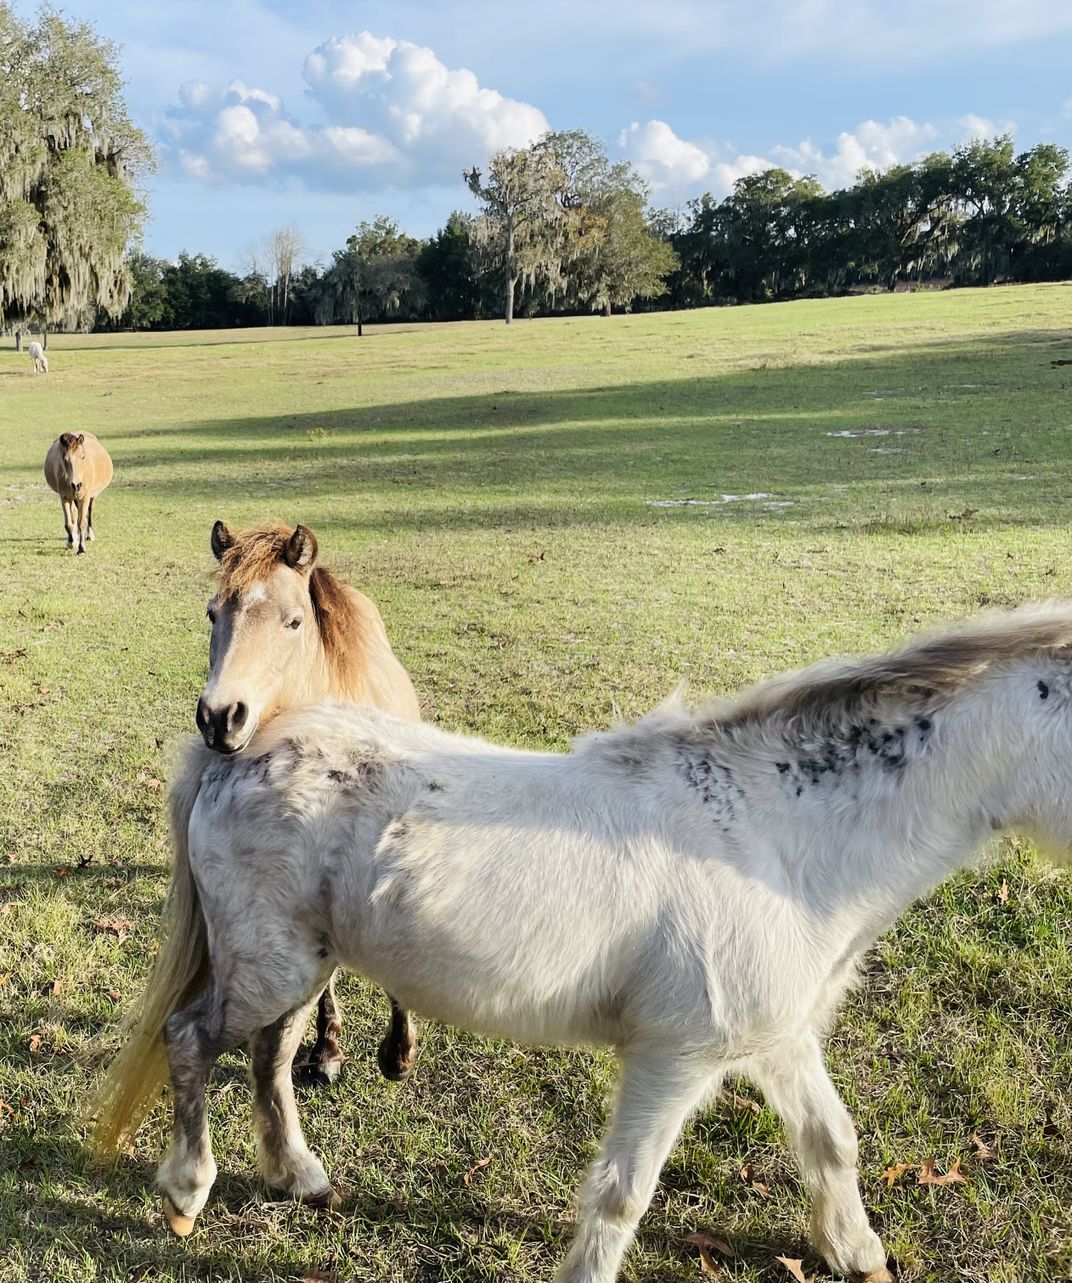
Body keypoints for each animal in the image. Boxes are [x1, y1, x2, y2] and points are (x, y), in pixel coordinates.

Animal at [89, 603, 1072, 1283]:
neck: (775, 839)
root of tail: (238, 748)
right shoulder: (675, 1057)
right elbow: (622, 1191)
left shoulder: (777, 1038)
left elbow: (833, 1140)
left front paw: (857, 1252)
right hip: (270, 964)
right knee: (192, 1039)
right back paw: (187, 1192)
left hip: (303, 964)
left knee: (268, 1057)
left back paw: (300, 1176)